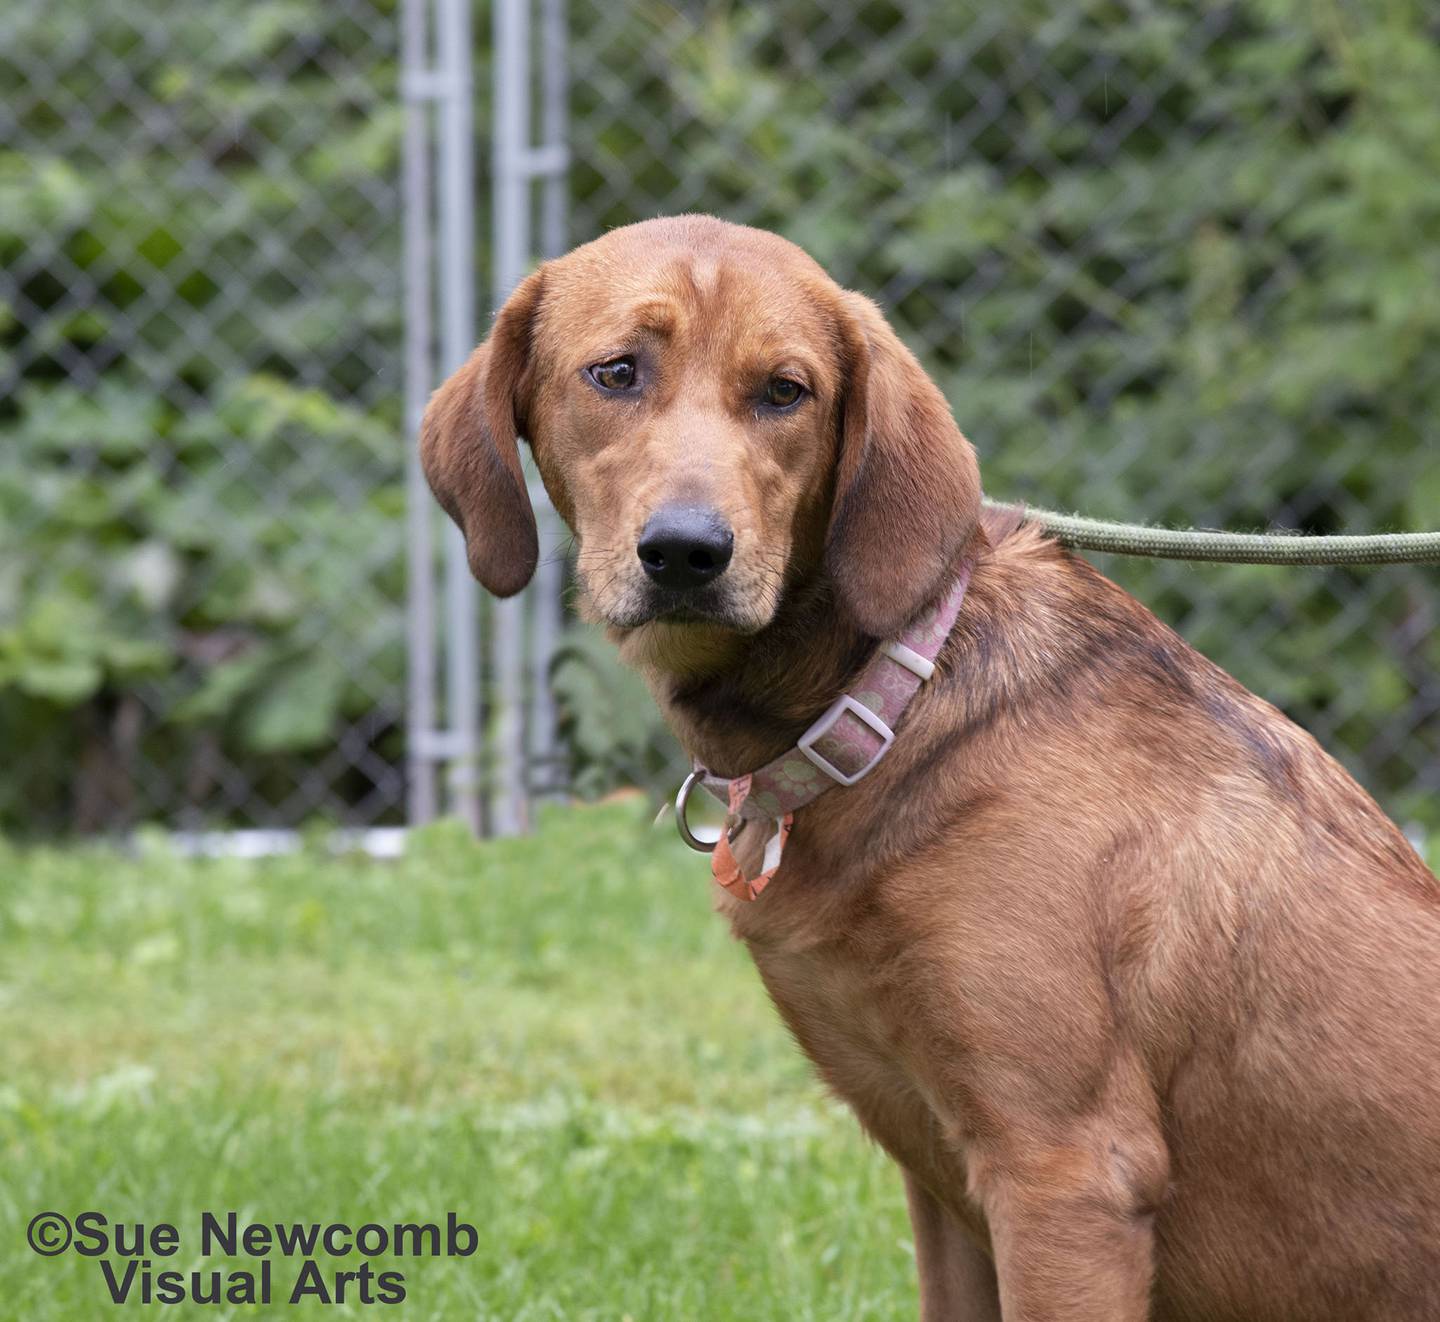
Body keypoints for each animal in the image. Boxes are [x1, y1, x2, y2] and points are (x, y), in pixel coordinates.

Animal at [420, 217, 1440, 1322]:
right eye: (614, 372)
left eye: (785, 391)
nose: (688, 552)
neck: (891, 705)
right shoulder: (945, 1178)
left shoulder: (1064, 1173)